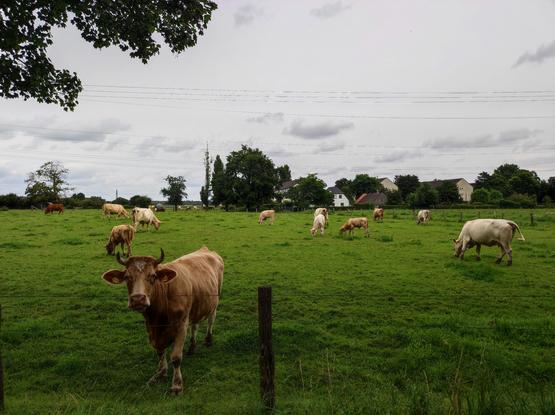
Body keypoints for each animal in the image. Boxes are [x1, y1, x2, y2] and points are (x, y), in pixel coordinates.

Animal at [102, 247, 224, 396]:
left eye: (153, 276)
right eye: (126, 277)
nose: (138, 299)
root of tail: (206, 249)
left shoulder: (181, 325)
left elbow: (176, 357)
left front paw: (177, 385)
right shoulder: (152, 328)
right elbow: (160, 351)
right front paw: (160, 374)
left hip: (215, 300)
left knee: (211, 320)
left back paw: (208, 340)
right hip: (197, 305)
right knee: (195, 325)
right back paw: (192, 347)